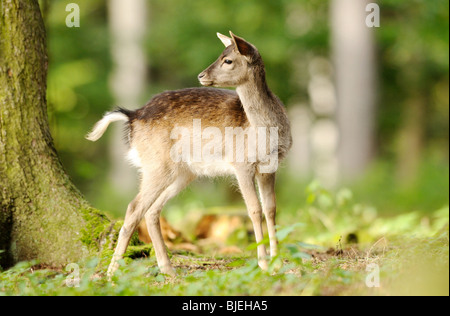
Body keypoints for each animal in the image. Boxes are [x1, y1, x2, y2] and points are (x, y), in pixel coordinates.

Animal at [86, 31, 294, 276]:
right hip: (156, 164)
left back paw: (168, 270)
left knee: (152, 210)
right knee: (134, 207)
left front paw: (277, 263)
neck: (263, 129)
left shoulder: (270, 167)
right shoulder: (241, 163)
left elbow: (271, 209)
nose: (201, 75)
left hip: (183, 172)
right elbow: (254, 209)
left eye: (228, 60)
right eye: (221, 55)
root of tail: (132, 115)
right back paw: (111, 273)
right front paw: (263, 264)